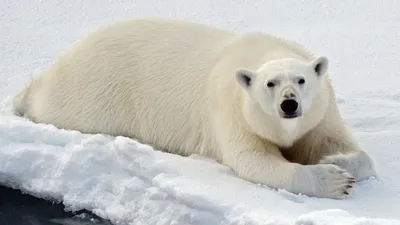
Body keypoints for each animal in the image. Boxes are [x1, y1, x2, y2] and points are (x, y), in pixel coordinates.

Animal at [12, 17, 376, 199]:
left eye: (301, 80)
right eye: (270, 84)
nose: (289, 104)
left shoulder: (321, 112)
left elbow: (345, 146)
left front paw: (335, 160)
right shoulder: (231, 112)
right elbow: (253, 161)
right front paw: (333, 180)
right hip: (94, 93)